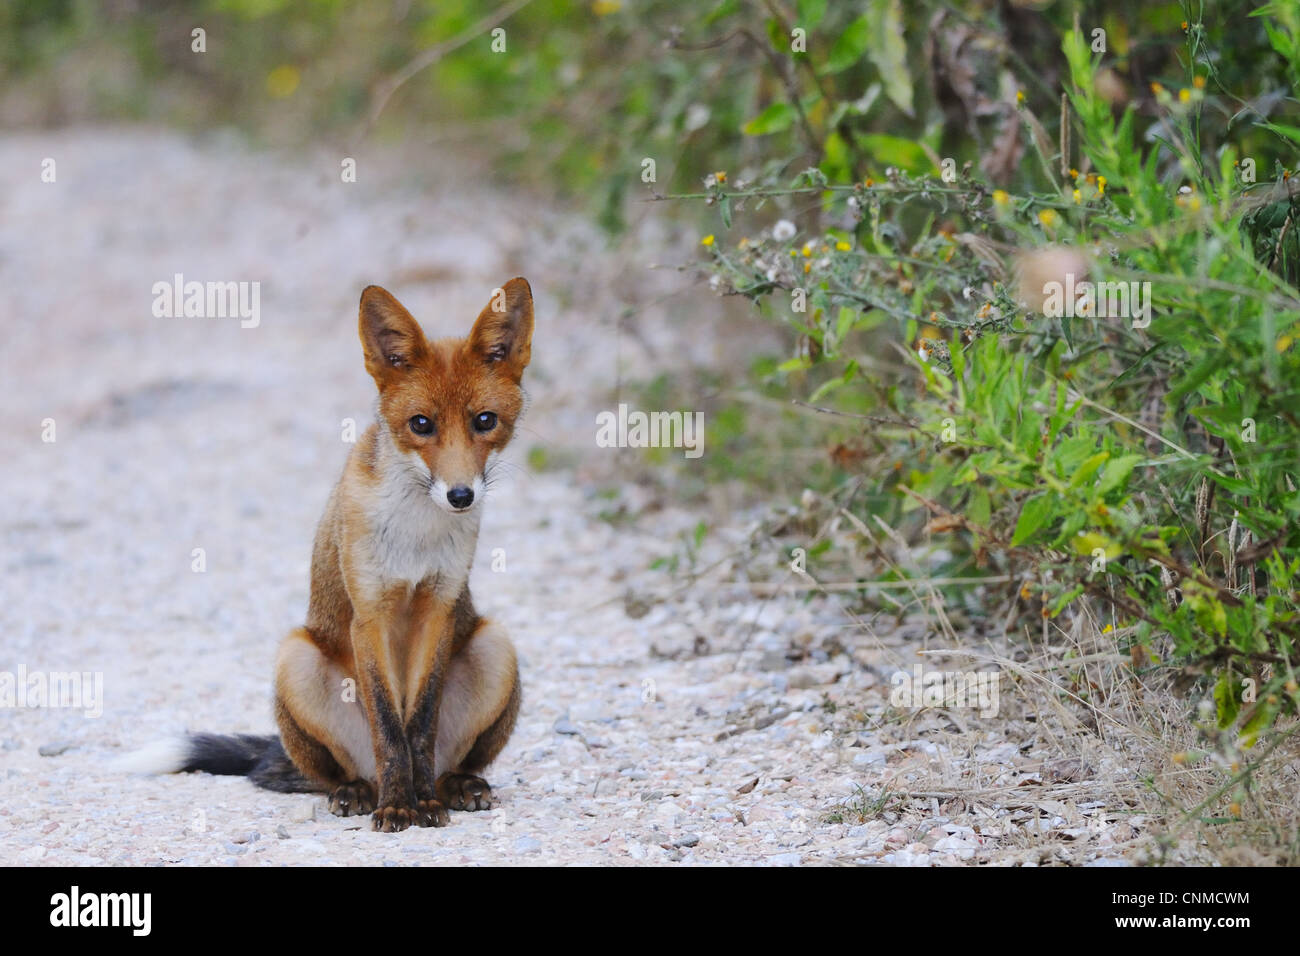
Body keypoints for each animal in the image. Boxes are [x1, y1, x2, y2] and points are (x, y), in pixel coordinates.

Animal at [120, 279, 532, 832]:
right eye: (421, 424)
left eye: (485, 421)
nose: (461, 495)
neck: (415, 536)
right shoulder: (369, 616)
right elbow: (390, 729)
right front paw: (399, 806)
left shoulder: (438, 609)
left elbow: (418, 726)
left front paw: (423, 802)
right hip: (295, 659)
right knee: (335, 774)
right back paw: (360, 792)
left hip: (495, 644)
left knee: (450, 760)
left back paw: (453, 786)